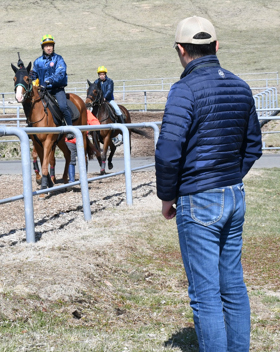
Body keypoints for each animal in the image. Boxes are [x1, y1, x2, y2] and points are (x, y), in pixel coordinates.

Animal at [11, 60, 98, 192]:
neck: (39, 113)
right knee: (67, 155)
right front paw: (45, 181)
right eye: (14, 78)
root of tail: (80, 100)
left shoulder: (48, 141)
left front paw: (44, 185)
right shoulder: (37, 142)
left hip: (81, 135)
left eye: (27, 79)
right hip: (61, 140)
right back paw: (66, 181)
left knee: (83, 155)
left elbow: (46, 162)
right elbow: (41, 159)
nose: (19, 96)